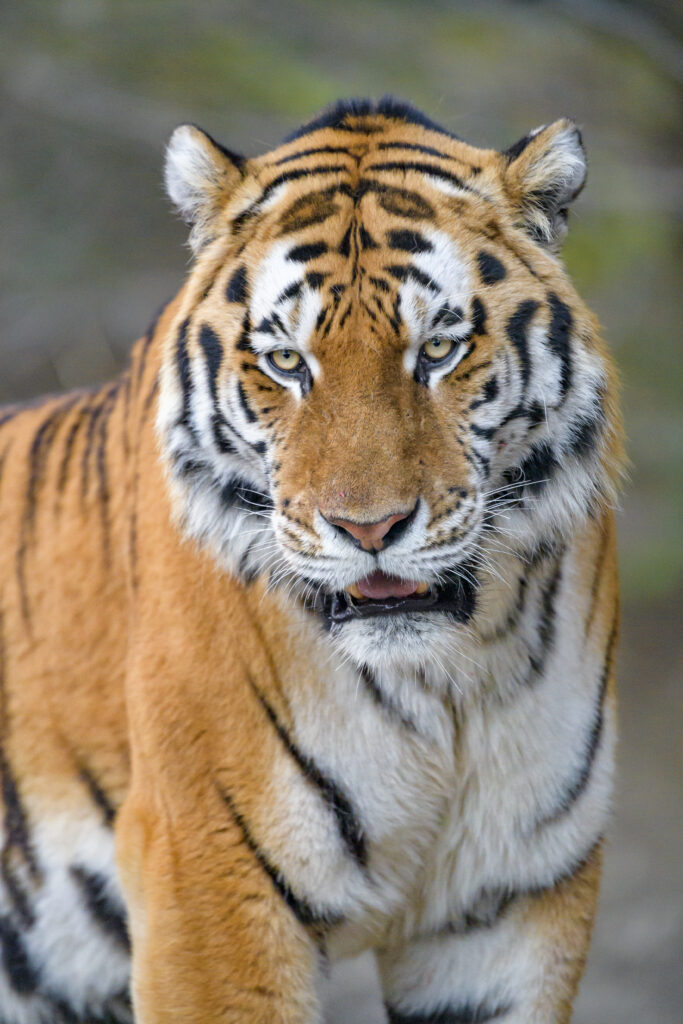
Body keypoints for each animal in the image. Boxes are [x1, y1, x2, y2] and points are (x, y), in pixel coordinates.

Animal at [0, 97, 623, 1023]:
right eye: (287, 362)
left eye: (437, 350)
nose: (369, 528)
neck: (450, 687)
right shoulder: (205, 875)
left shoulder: (512, 903)